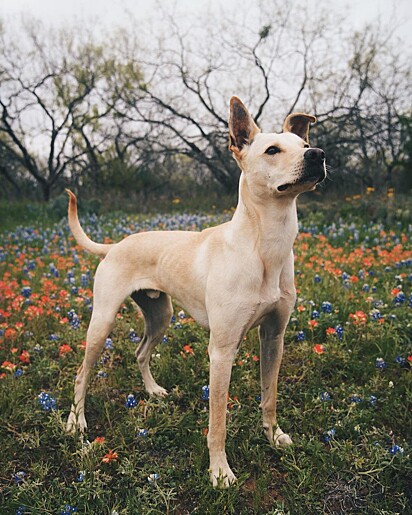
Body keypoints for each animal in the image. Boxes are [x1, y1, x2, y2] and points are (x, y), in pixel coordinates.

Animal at [66, 97, 326, 488]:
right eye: (272, 150)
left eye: (305, 144)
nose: (318, 155)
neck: (265, 245)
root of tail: (116, 244)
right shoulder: (221, 352)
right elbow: (217, 421)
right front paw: (219, 471)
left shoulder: (274, 337)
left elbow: (269, 397)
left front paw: (273, 435)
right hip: (102, 323)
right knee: (82, 373)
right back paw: (75, 422)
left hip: (161, 315)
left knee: (141, 352)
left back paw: (153, 391)